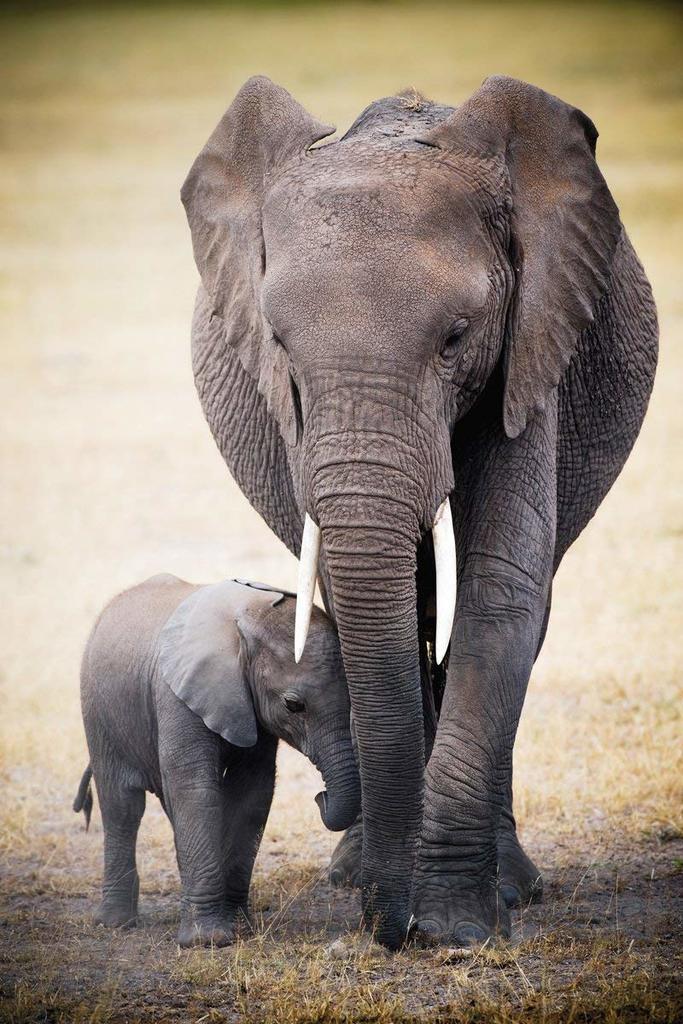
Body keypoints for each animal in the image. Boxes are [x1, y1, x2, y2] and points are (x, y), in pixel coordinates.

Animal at [74, 574, 360, 947]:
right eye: (293, 705)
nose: (320, 796)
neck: (246, 620)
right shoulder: (176, 696)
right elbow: (196, 789)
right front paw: (206, 941)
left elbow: (252, 792)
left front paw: (239, 928)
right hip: (98, 712)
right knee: (122, 805)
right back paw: (116, 923)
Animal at [180, 75, 658, 949]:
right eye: (278, 344)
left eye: (456, 338)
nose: (387, 928)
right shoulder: (294, 416)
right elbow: (373, 600)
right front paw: (408, 904)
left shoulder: (530, 345)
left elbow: (499, 590)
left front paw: (456, 928)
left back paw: (509, 886)